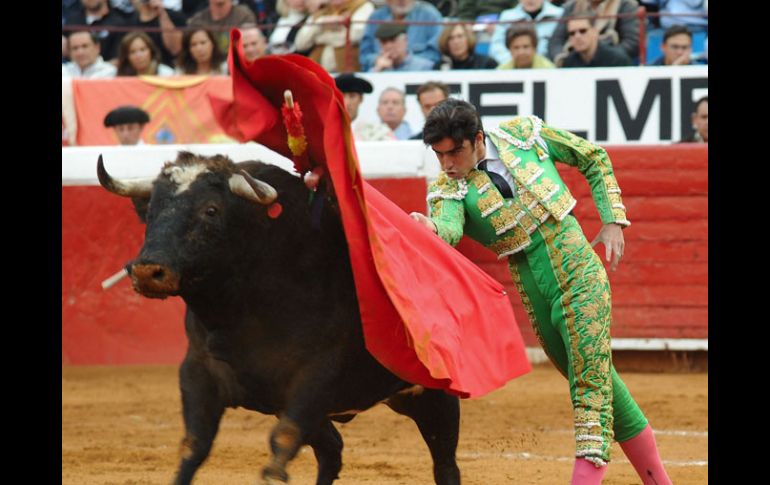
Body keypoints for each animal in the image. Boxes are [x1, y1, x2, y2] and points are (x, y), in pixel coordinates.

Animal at [96, 152, 460, 484]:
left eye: (211, 210)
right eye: (151, 211)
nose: (147, 270)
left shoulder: (316, 378)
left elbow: (281, 442)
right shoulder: (199, 372)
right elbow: (192, 447)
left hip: (432, 397)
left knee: (444, 463)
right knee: (332, 450)